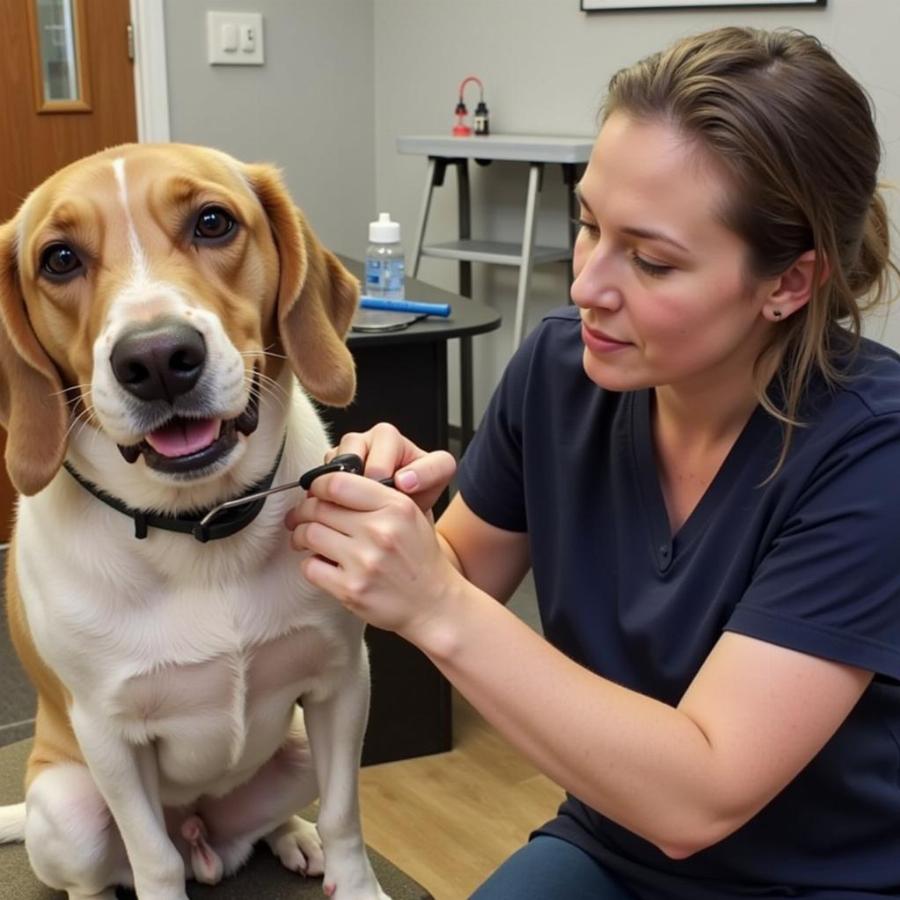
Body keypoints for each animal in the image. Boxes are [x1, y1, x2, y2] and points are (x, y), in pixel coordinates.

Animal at [0, 144, 390, 896]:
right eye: (59, 259)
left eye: (213, 221)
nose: (155, 359)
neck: (201, 526)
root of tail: (207, 840)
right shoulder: (110, 739)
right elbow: (152, 858)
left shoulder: (342, 682)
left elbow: (346, 818)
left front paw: (352, 879)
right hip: (67, 805)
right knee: (100, 872)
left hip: (297, 746)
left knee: (279, 820)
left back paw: (292, 837)